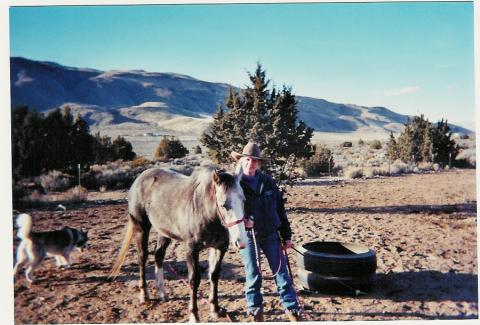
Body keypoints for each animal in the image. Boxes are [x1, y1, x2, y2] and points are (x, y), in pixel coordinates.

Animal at [109, 167, 248, 322]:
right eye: (224, 204)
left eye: (243, 200)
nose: (241, 242)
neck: (204, 210)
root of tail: (140, 178)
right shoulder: (191, 250)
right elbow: (194, 280)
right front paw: (194, 315)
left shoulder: (219, 248)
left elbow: (214, 276)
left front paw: (215, 309)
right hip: (141, 228)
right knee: (142, 257)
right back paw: (144, 295)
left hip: (164, 232)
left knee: (159, 255)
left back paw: (162, 293)